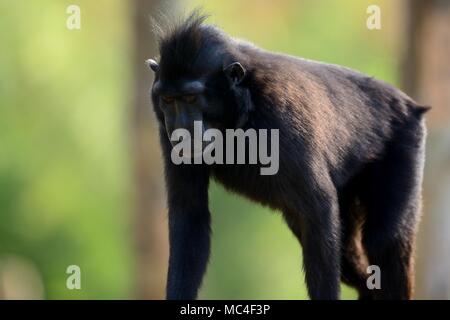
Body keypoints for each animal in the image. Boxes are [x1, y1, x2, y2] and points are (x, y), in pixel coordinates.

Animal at [147, 11, 428, 298]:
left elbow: (319, 209)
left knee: (383, 239)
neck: (243, 105)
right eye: (168, 99)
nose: (179, 127)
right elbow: (190, 215)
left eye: (191, 98)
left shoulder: (281, 119)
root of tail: (408, 104)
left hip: (405, 144)